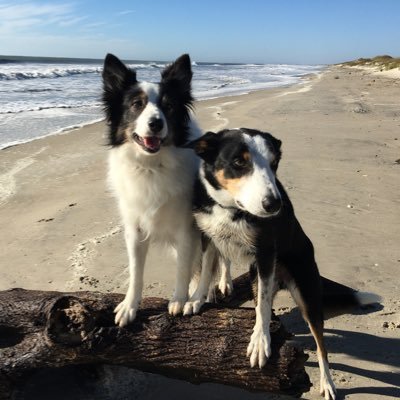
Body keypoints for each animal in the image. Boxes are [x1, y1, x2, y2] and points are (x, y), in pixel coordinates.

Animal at [102, 54, 206, 328]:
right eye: (136, 104)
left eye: (168, 106)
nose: (156, 123)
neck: (152, 166)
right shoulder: (134, 229)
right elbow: (136, 271)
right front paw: (129, 306)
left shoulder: (187, 228)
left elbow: (183, 268)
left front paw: (179, 300)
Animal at [183, 128, 380, 400]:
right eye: (239, 162)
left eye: (274, 162)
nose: (274, 205)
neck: (231, 209)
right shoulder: (208, 237)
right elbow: (204, 274)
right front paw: (196, 300)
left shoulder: (266, 252)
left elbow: (264, 307)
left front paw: (259, 341)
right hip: (257, 277)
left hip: (306, 291)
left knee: (320, 344)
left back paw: (327, 383)